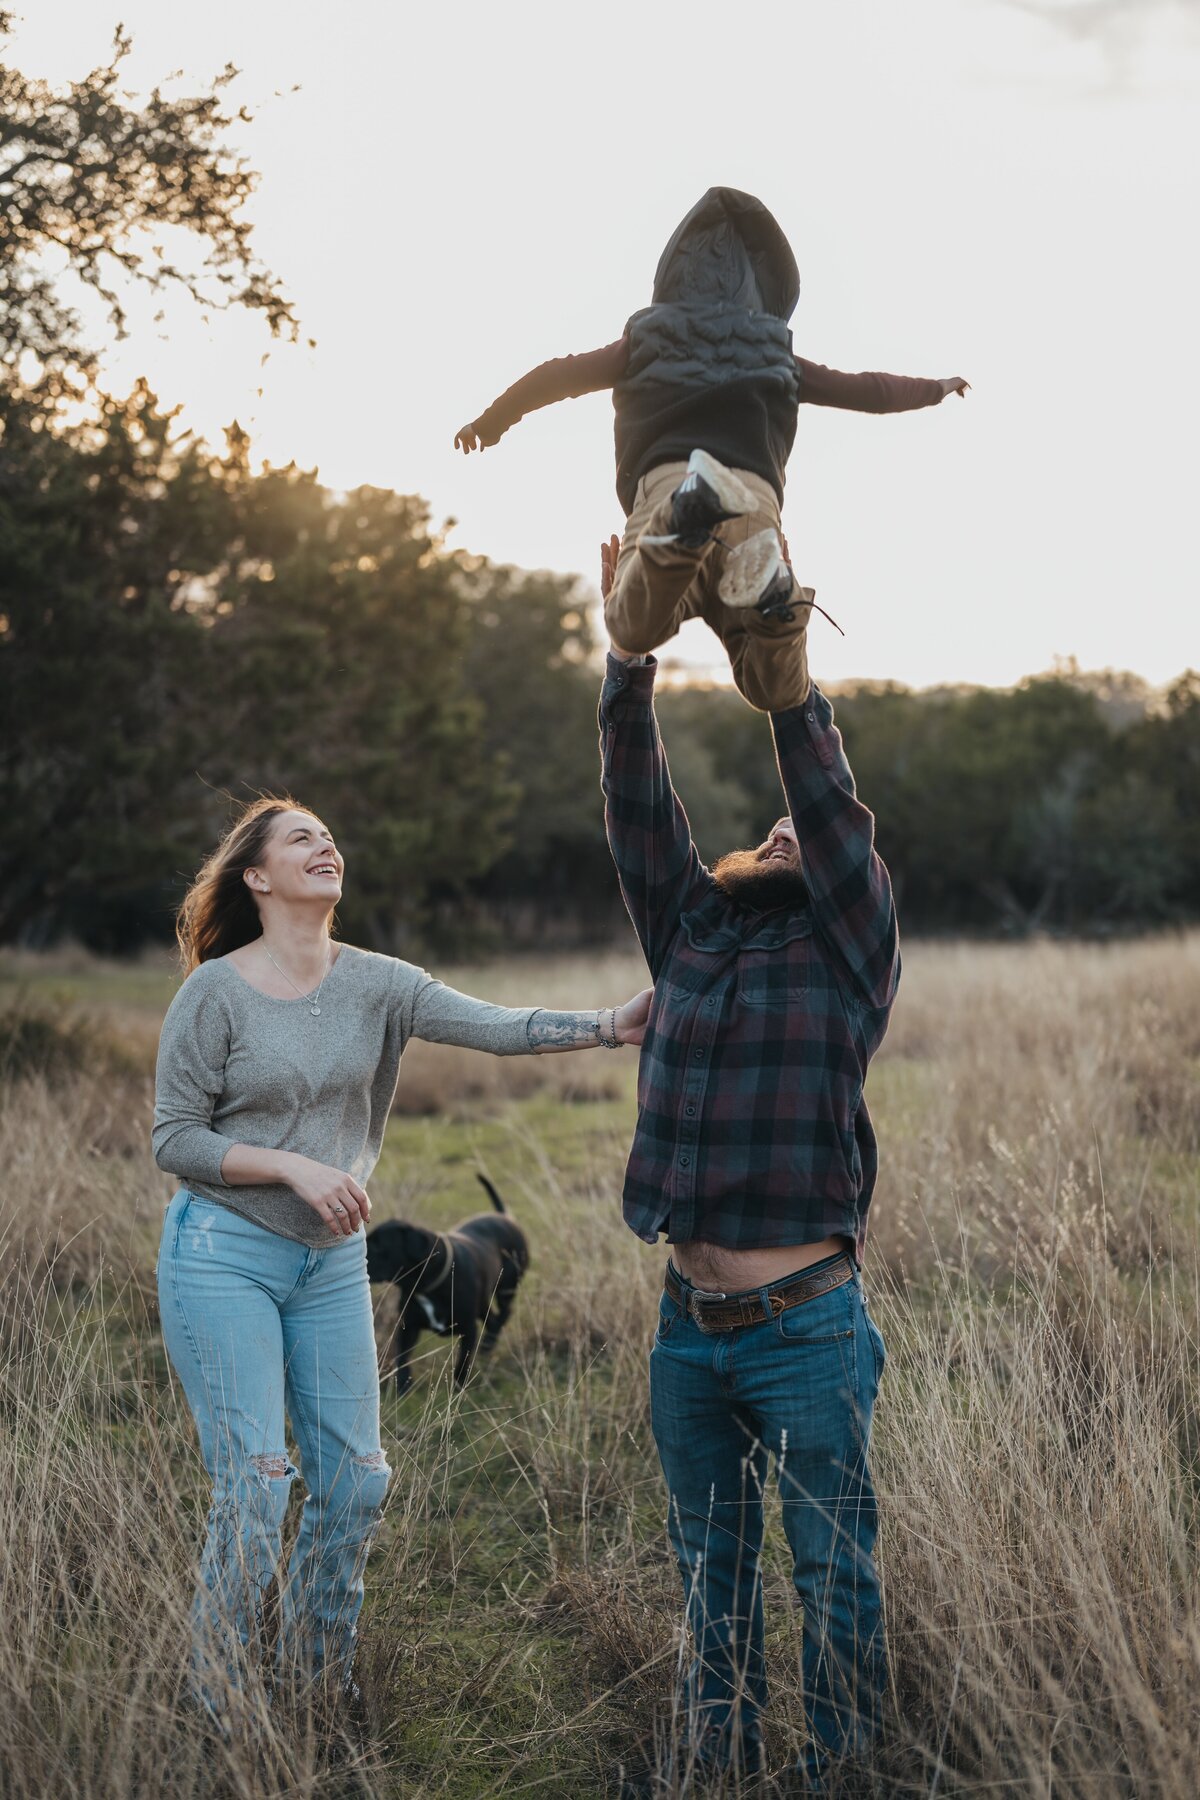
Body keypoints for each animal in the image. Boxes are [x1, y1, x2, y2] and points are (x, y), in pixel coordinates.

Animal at [367, 1173, 528, 1396]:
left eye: (378, 1246)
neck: (426, 1287)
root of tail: (504, 1217)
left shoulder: (468, 1329)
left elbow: (462, 1363)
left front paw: (459, 1389)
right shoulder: (408, 1326)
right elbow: (403, 1358)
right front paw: (403, 1389)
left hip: (507, 1286)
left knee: (504, 1313)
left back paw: (488, 1343)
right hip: (484, 1300)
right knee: (493, 1318)